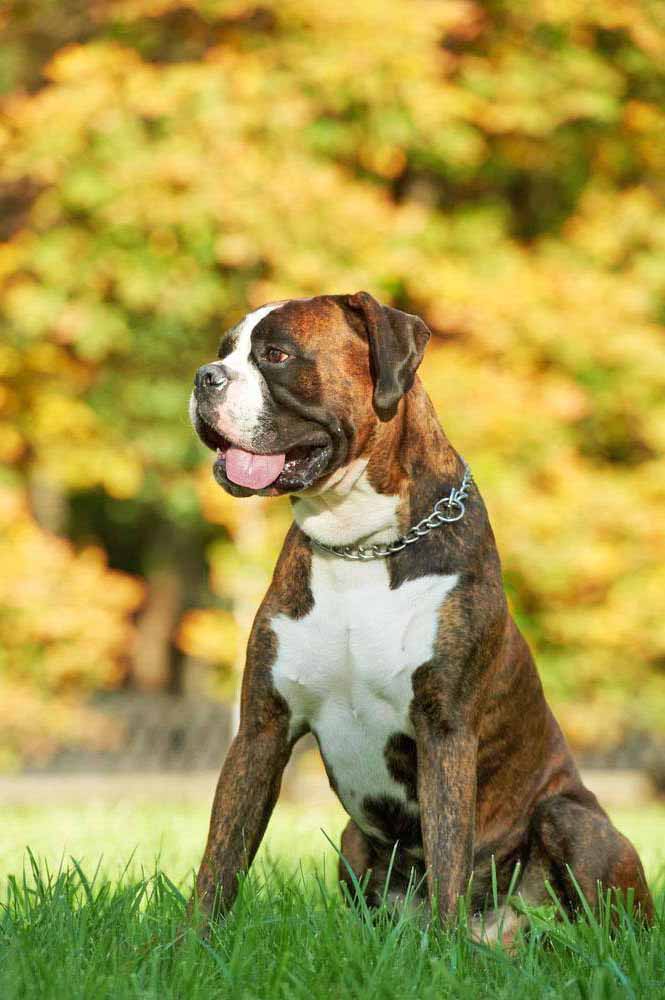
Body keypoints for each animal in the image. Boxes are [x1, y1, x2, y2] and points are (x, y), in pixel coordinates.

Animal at [189, 292, 652, 940]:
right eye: (224, 350)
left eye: (276, 354)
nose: (204, 376)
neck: (359, 545)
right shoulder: (261, 730)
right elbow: (220, 860)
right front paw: (188, 947)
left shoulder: (444, 730)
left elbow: (448, 854)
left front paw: (443, 952)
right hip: (354, 842)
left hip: (573, 820)